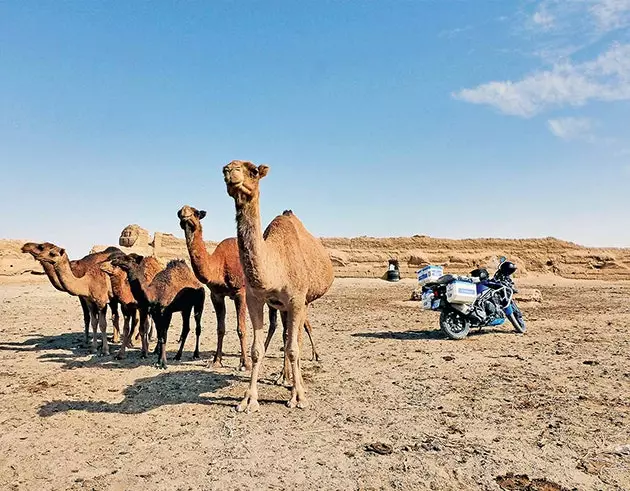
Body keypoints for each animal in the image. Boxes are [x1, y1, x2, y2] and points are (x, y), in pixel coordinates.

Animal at [223, 161, 336, 412]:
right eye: (225, 168)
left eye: (253, 171)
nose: (229, 170)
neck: (276, 266)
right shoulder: (255, 299)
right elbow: (257, 350)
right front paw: (248, 400)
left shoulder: (296, 300)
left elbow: (294, 348)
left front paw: (298, 397)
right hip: (283, 307)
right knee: (286, 334)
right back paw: (284, 377)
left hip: (304, 301)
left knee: (297, 338)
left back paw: (297, 383)